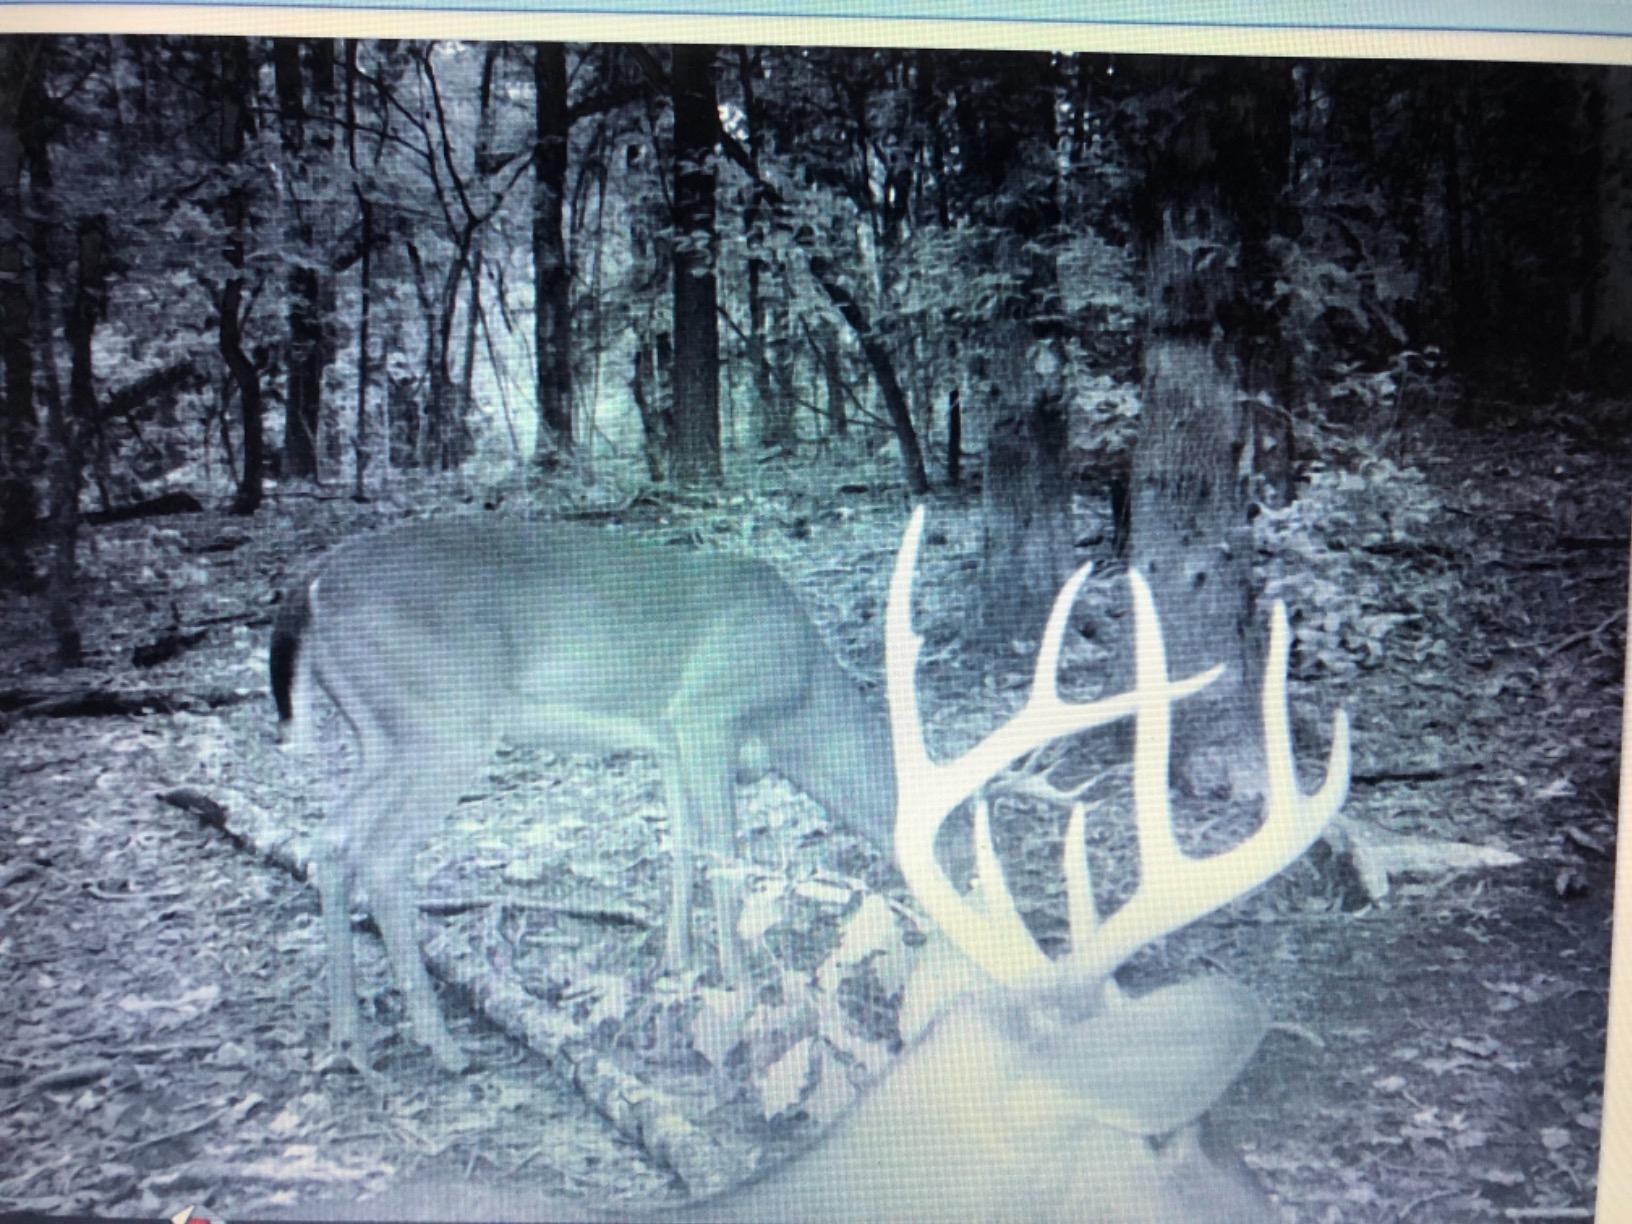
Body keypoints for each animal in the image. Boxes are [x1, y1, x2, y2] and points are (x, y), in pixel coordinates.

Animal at [271, 518, 896, 1073]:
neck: (802, 701)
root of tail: (314, 584)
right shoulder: (705, 717)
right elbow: (725, 857)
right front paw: (742, 991)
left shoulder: (669, 745)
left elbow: (682, 850)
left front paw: (675, 967)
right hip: (446, 724)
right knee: (380, 855)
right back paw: (444, 1047)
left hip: (382, 736)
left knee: (330, 838)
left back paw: (350, 1042)